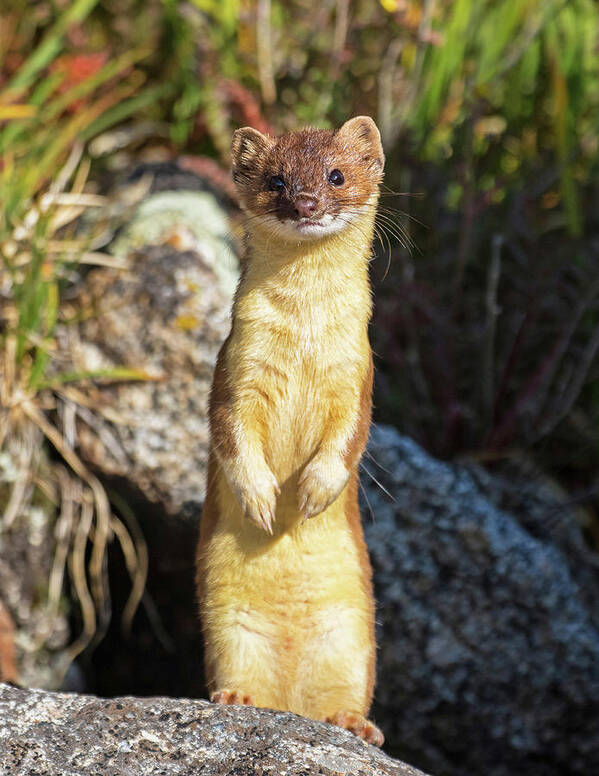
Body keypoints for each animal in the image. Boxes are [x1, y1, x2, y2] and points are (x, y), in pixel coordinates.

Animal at [196, 116, 384, 744]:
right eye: (276, 179)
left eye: (336, 174)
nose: (305, 202)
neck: (305, 337)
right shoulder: (233, 372)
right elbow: (231, 433)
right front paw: (260, 498)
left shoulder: (358, 377)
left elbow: (349, 440)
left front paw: (312, 493)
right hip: (228, 626)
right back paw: (237, 697)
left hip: (353, 632)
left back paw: (354, 724)